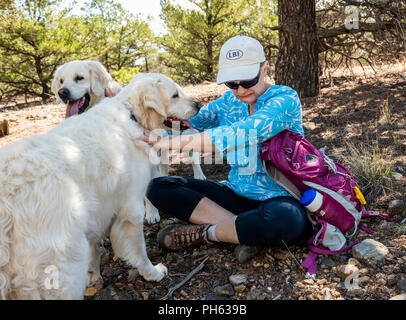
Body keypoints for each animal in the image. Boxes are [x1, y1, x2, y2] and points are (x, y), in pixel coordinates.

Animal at [0, 73, 200, 300]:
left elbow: (95, 246)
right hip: (65, 264)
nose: (198, 104)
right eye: (175, 95)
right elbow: (139, 251)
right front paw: (152, 273)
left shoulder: (99, 209)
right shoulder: (131, 210)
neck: (132, 115)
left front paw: (94, 275)